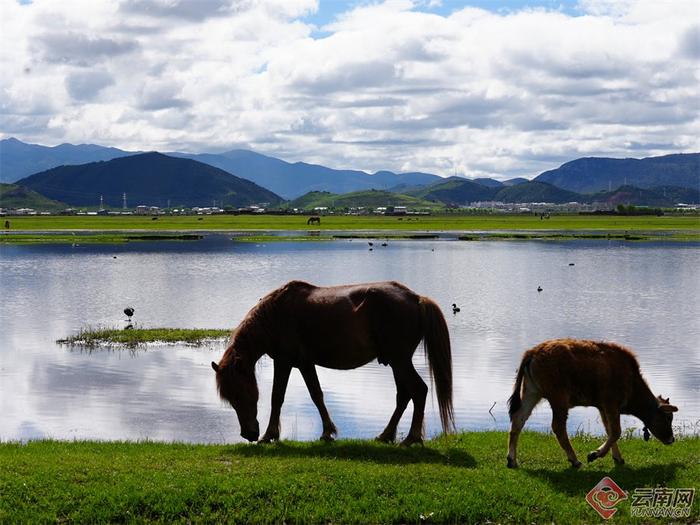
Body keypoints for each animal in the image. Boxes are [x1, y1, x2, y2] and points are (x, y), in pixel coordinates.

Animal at [212, 280, 454, 444]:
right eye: (230, 397)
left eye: (239, 393)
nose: (248, 434)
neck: (276, 316)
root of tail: (417, 298)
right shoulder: (304, 364)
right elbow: (316, 395)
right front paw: (327, 432)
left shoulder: (285, 362)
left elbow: (277, 397)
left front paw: (269, 435)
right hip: (397, 363)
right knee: (404, 396)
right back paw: (385, 435)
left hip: (400, 361)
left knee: (418, 391)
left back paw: (411, 438)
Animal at [508, 338, 680, 468]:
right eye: (667, 417)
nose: (671, 439)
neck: (631, 379)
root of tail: (533, 351)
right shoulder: (611, 404)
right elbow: (616, 431)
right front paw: (594, 454)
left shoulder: (603, 408)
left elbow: (609, 430)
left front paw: (618, 458)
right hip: (559, 400)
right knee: (558, 427)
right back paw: (575, 460)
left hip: (532, 393)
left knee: (518, 419)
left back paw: (511, 460)